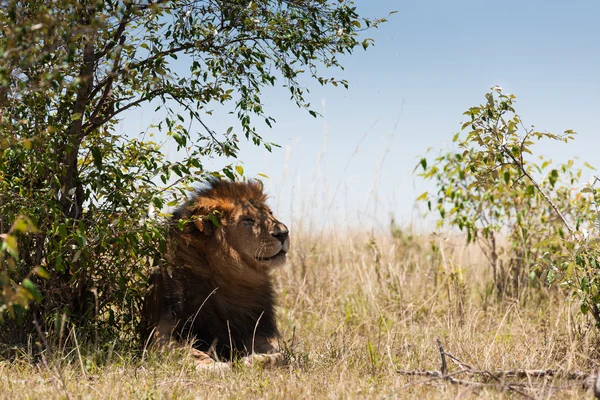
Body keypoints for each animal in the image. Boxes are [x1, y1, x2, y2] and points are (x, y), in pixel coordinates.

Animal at [141, 178, 290, 368]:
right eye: (247, 220)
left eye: (270, 213)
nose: (284, 233)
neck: (230, 279)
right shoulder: (161, 335)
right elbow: (188, 351)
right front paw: (214, 366)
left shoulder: (254, 330)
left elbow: (281, 354)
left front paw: (257, 359)